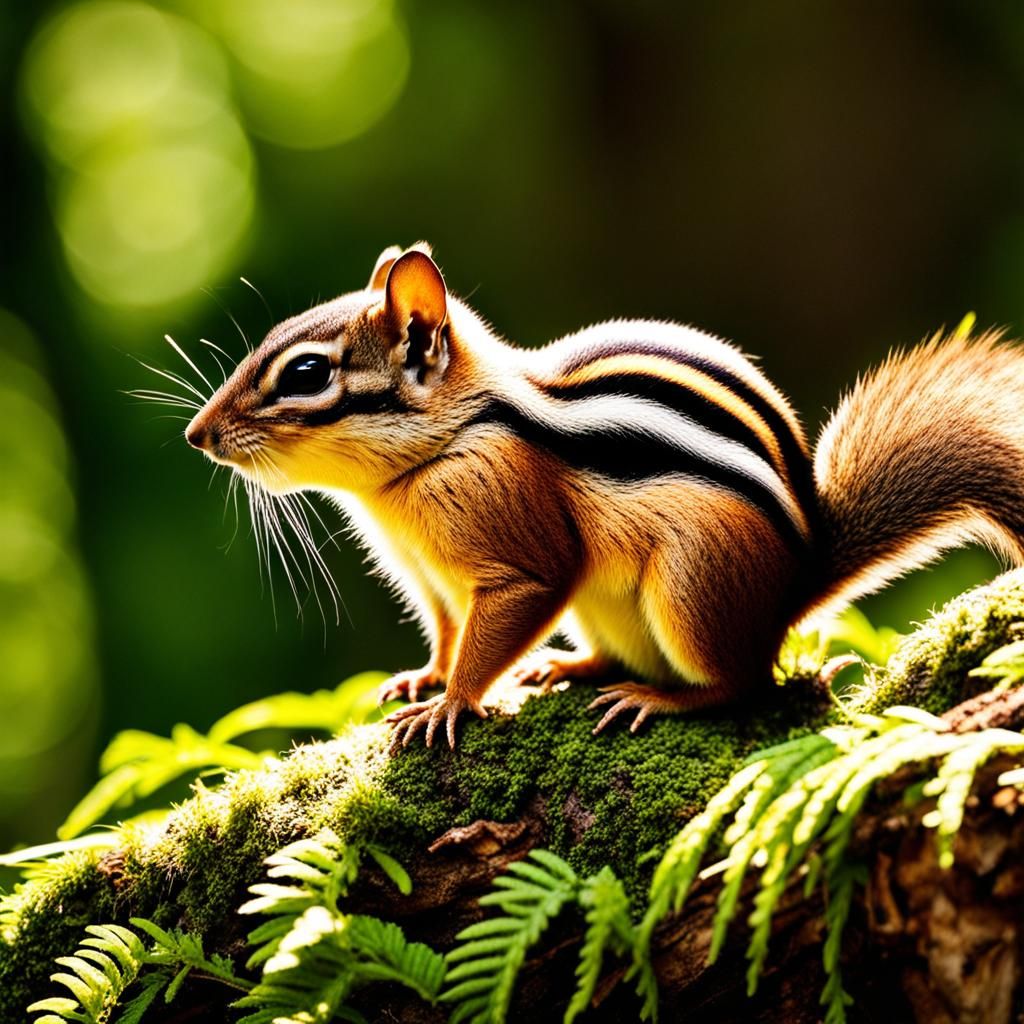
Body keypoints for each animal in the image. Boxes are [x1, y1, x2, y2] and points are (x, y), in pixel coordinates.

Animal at [184, 243, 1024, 749]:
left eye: (304, 374)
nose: (197, 435)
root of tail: (798, 582)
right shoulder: (433, 580)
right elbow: (449, 632)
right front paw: (426, 677)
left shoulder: (517, 555)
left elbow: (503, 617)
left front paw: (451, 703)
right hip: (606, 604)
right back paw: (567, 669)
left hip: (693, 585)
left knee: (746, 684)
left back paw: (660, 700)